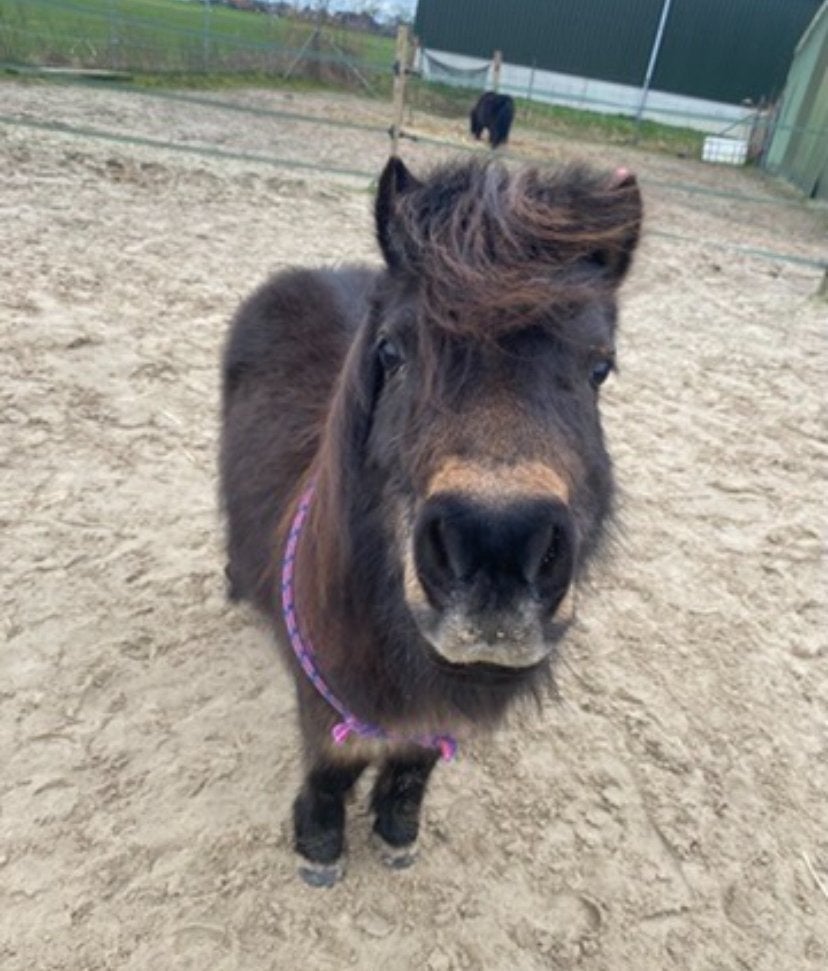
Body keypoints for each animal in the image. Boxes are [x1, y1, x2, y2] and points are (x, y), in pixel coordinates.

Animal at [219, 155, 642, 886]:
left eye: (600, 366)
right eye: (393, 351)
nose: (498, 546)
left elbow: (414, 763)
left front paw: (396, 833)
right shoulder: (326, 696)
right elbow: (333, 766)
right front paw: (320, 846)